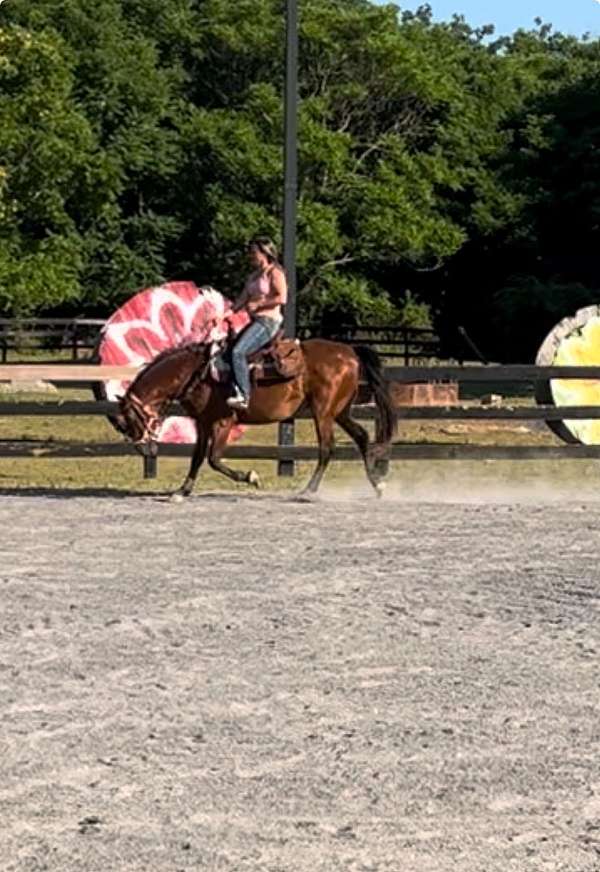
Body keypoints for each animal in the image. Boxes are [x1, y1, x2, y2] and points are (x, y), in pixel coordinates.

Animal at [114, 338, 396, 500]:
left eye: (128, 419)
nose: (144, 450)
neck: (198, 374)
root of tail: (349, 351)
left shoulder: (223, 422)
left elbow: (214, 459)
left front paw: (251, 477)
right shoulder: (203, 423)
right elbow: (197, 458)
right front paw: (182, 491)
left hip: (323, 412)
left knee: (327, 447)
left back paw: (309, 490)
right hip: (340, 411)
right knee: (362, 437)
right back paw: (378, 485)